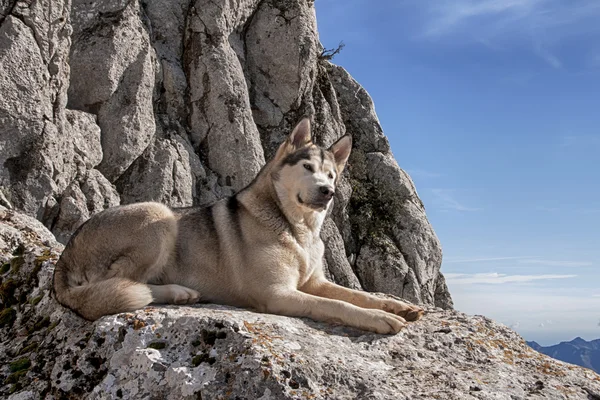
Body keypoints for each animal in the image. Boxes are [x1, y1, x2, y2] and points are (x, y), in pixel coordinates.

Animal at [54, 119, 424, 334]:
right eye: (307, 167)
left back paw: (181, 293)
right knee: (122, 287)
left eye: (332, 175)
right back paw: (175, 291)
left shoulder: (314, 282)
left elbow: (358, 294)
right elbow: (338, 305)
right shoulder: (279, 293)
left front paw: (398, 306)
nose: (327, 191)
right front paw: (379, 319)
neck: (296, 228)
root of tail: (62, 265)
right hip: (157, 215)